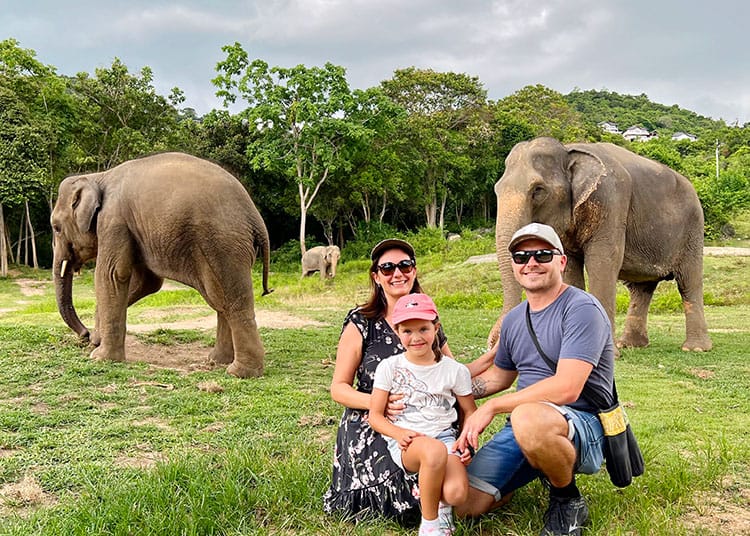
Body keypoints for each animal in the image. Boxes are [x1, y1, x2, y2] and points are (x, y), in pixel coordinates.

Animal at [50, 151, 274, 376]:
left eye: (56, 227)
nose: (84, 335)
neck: (98, 177)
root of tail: (256, 220)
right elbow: (146, 282)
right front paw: (97, 340)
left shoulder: (114, 220)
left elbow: (111, 275)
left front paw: (99, 357)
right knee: (219, 298)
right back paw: (217, 361)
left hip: (224, 244)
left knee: (233, 299)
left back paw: (239, 372)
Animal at [490, 137, 712, 352]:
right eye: (496, 190)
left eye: (538, 190)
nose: (493, 344)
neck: (568, 149)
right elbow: (570, 266)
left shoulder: (610, 200)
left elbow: (602, 262)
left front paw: (608, 354)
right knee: (642, 289)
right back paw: (630, 345)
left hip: (692, 231)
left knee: (689, 281)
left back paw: (695, 349)